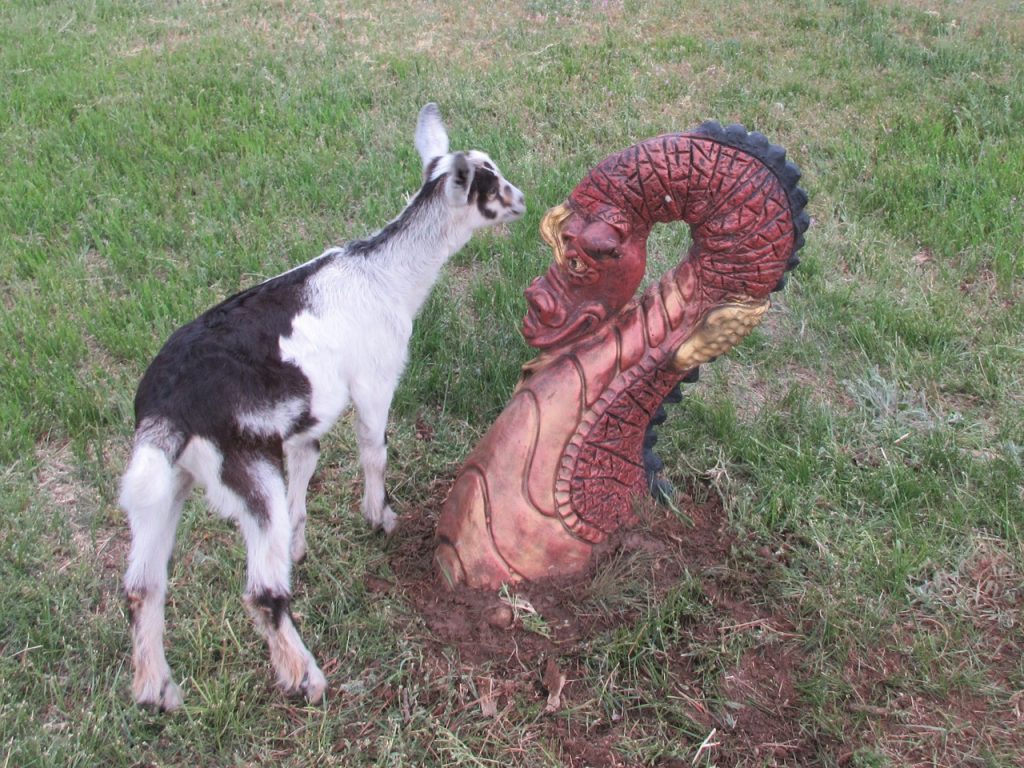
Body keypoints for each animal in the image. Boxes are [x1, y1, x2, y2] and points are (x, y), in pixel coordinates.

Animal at [120, 103, 525, 710]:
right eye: (489, 184)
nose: (521, 198)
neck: (386, 274)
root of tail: (166, 407)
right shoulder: (375, 379)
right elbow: (373, 450)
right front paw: (380, 518)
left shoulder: (304, 421)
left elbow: (306, 473)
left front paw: (300, 547)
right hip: (244, 468)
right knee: (261, 591)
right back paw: (305, 679)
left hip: (164, 481)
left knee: (144, 585)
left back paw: (157, 691)